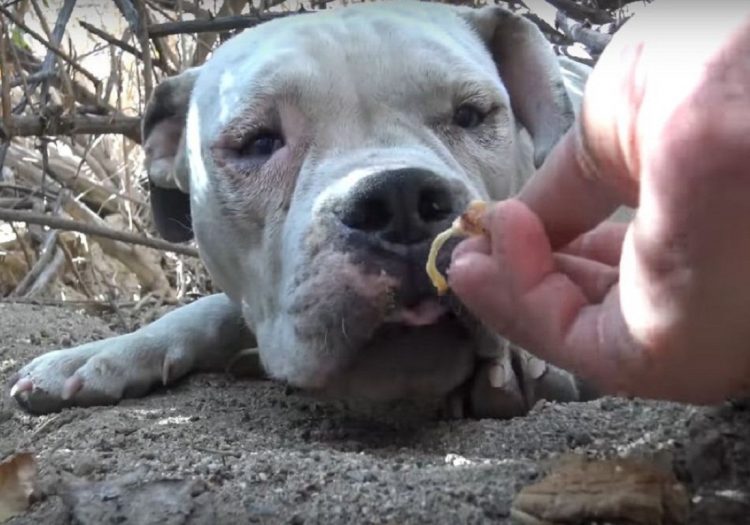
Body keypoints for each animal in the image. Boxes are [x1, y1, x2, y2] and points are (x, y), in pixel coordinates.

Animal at [10, 0, 600, 418]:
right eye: (257, 142)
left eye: (473, 115)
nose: (401, 201)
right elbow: (209, 309)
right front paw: (108, 353)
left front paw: (524, 356)